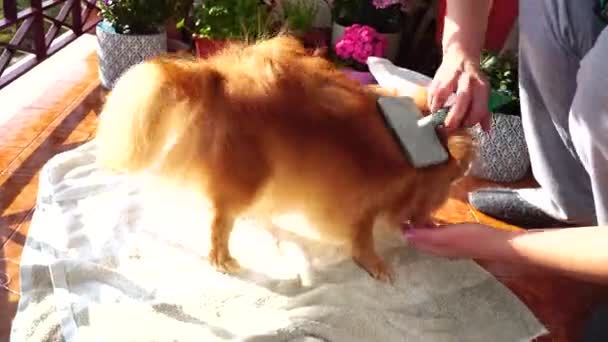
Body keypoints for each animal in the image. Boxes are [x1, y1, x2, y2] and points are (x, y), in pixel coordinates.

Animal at [95, 35, 476, 284]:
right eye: (449, 183)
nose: (433, 214)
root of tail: (217, 79)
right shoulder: (362, 204)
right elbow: (362, 237)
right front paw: (375, 263)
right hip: (251, 174)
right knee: (220, 217)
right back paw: (223, 258)